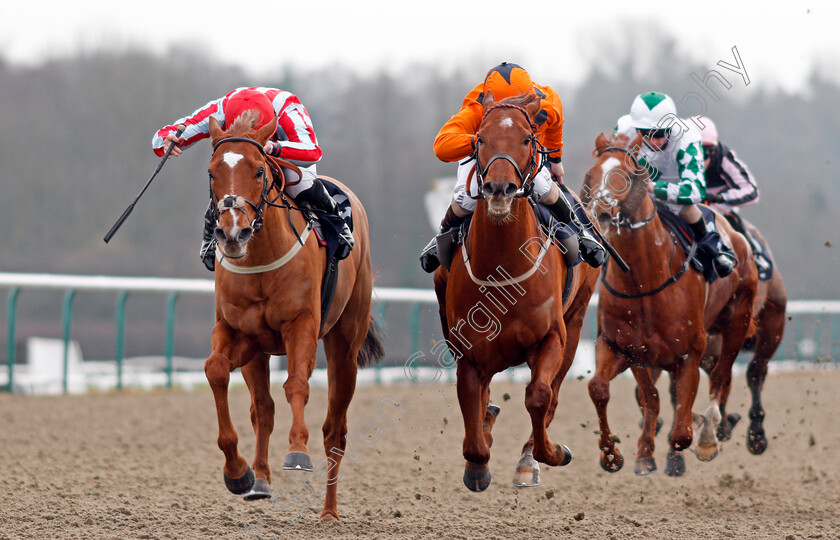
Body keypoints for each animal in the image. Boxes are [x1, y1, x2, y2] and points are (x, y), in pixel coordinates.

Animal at [203, 108, 384, 520]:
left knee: (335, 429)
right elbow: (216, 370)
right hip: (260, 353)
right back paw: (259, 481)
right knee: (263, 409)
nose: (232, 233)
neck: (260, 259)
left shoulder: (301, 324)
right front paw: (237, 472)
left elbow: (297, 385)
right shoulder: (240, 333)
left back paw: (329, 512)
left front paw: (298, 452)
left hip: (344, 344)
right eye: (212, 172)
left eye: (258, 170)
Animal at [434, 94, 596, 494]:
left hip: (577, 319)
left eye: (526, 139)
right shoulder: (468, 350)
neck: (503, 268)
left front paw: (546, 455)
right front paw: (477, 463)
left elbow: (539, 396)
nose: (499, 188)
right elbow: (472, 416)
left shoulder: (552, 335)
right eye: (480, 139)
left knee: (552, 392)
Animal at [580, 134, 756, 476]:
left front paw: (694, 438)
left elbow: (680, 433)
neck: (643, 282)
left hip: (737, 321)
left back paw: (708, 435)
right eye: (591, 174)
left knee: (721, 376)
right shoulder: (625, 348)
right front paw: (619, 454)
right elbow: (607, 389)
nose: (601, 212)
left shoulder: (691, 351)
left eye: (628, 173)